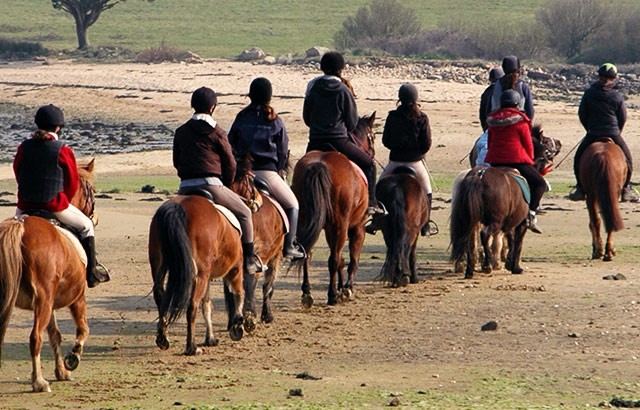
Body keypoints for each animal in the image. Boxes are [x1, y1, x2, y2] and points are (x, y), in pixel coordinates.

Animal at [0, 159, 97, 392]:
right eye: (92, 190)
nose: (94, 218)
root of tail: (21, 226)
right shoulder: (77, 298)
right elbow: (83, 329)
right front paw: (72, 359)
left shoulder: (50, 303)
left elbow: (55, 335)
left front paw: (61, 371)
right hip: (44, 300)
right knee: (35, 337)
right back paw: (39, 382)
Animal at [149, 194, 248, 354]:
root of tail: (179, 206)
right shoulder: (235, 269)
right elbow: (239, 293)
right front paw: (238, 326)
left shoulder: (208, 277)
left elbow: (207, 304)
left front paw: (210, 338)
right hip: (200, 275)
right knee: (192, 306)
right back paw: (192, 347)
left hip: (158, 266)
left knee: (160, 297)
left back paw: (163, 338)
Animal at [232, 156, 284, 326]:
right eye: (250, 179)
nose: (258, 201)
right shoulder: (275, 254)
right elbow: (268, 285)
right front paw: (266, 315)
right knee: (252, 280)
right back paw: (249, 315)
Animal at [290, 113, 376, 306]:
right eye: (373, 137)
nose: (372, 153)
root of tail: (319, 164)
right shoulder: (357, 227)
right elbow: (352, 258)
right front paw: (347, 289)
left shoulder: (329, 228)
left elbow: (342, 260)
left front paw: (341, 287)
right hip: (341, 225)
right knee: (333, 259)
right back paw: (331, 296)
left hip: (307, 221)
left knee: (307, 254)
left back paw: (307, 293)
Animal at [450, 125, 560, 278]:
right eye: (546, 142)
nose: (558, 145)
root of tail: (479, 176)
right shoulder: (520, 224)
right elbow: (517, 243)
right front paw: (515, 266)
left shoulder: (510, 221)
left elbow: (510, 240)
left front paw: (508, 262)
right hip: (495, 220)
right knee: (485, 235)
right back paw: (487, 265)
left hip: (471, 220)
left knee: (469, 241)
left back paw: (469, 269)